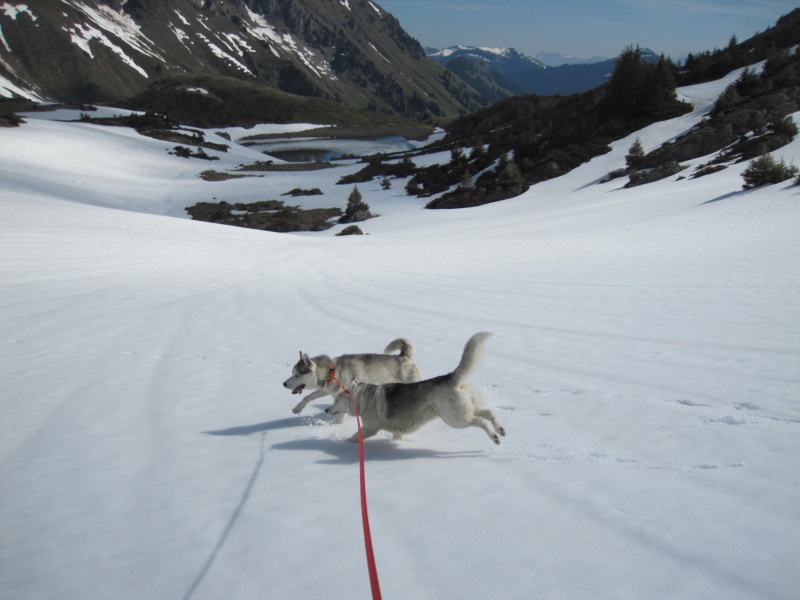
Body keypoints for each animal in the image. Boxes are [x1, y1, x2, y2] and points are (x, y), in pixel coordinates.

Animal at [282, 338, 422, 422]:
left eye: (297, 375)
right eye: (292, 373)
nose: (284, 384)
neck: (332, 372)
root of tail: (404, 356)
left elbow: (339, 417)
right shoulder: (327, 389)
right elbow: (307, 397)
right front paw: (297, 408)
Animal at [326, 332, 506, 446]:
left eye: (336, 401)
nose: (327, 410)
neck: (363, 398)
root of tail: (450, 378)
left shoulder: (369, 428)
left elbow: (354, 437)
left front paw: (342, 443)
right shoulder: (396, 430)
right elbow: (396, 438)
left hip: (456, 419)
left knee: (481, 421)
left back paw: (495, 437)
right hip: (466, 410)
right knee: (488, 412)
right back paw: (500, 430)